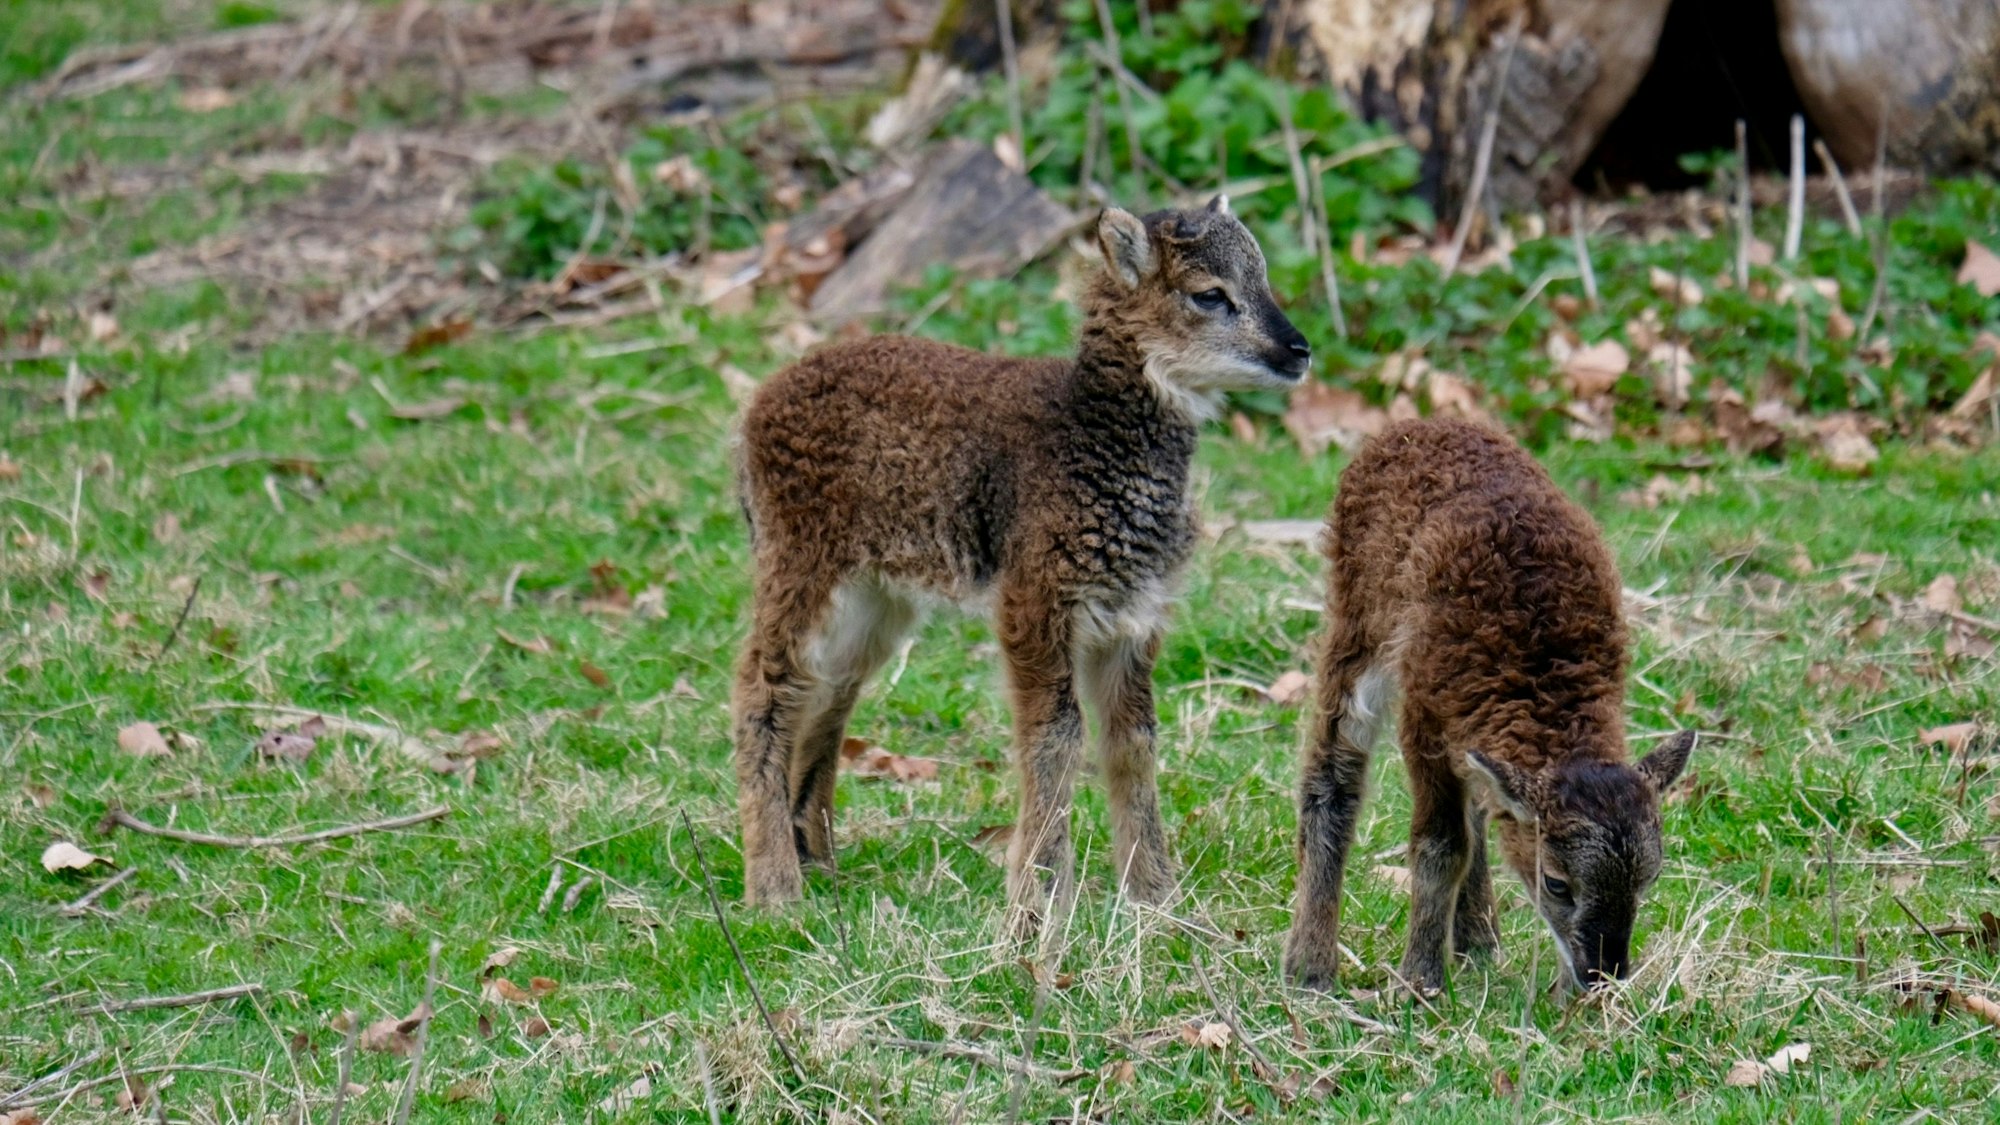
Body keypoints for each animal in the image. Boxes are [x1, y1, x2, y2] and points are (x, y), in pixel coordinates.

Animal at [733, 197, 1312, 936]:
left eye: (1262, 278)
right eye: (1209, 295)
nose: (1297, 350)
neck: (1086, 437)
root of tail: (756, 409)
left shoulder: (1135, 613)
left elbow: (1133, 740)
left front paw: (1156, 899)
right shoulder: (1035, 598)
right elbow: (1056, 736)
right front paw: (1038, 901)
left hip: (875, 595)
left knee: (827, 691)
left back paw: (818, 861)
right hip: (799, 556)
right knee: (763, 683)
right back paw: (776, 890)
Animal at [1283, 417, 1697, 994]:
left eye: (1649, 878)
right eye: (1556, 883)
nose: (1603, 975)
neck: (1542, 659)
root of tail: (1416, 425)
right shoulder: (1425, 718)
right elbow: (1440, 845)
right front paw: (1420, 982)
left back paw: (1479, 941)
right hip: (1357, 622)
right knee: (1333, 768)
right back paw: (1310, 966)